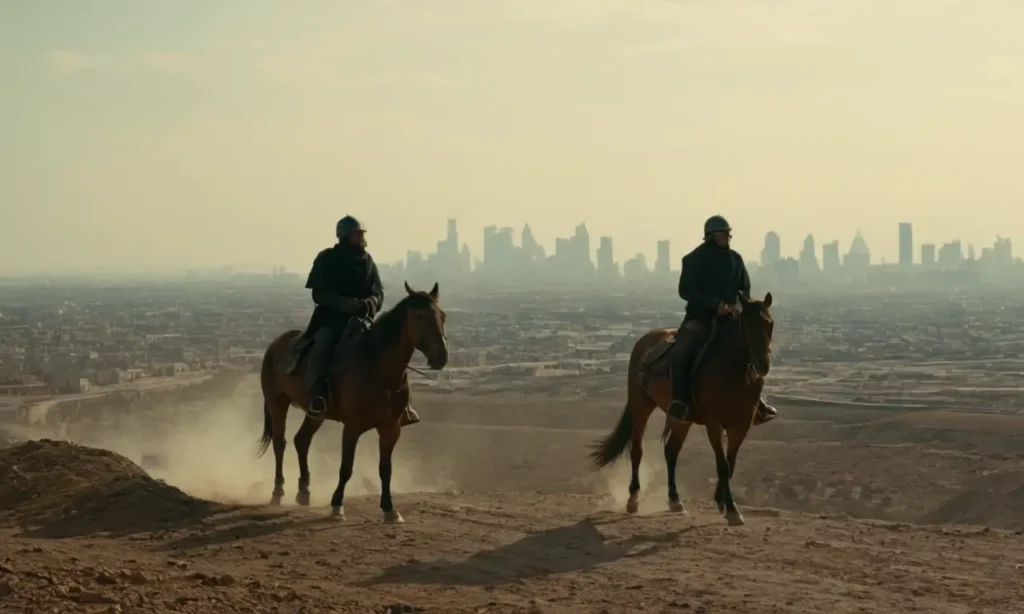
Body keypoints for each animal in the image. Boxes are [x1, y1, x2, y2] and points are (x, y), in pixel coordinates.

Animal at [256, 280, 448, 519]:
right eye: (420, 316)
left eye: (443, 316)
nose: (441, 357)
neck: (377, 367)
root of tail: (275, 344)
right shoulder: (352, 427)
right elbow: (346, 467)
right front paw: (337, 505)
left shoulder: (391, 429)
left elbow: (385, 469)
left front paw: (390, 509)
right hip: (277, 403)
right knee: (279, 443)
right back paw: (278, 492)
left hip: (316, 413)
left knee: (301, 440)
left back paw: (304, 492)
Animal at [589, 294, 770, 528]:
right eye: (747, 325)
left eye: (770, 324)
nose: (763, 365)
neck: (733, 372)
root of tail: (645, 340)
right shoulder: (714, 423)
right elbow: (722, 465)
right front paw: (731, 510)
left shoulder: (742, 424)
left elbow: (730, 464)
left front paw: (722, 501)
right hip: (641, 406)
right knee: (637, 450)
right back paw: (633, 499)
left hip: (683, 419)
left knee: (671, 451)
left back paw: (675, 500)